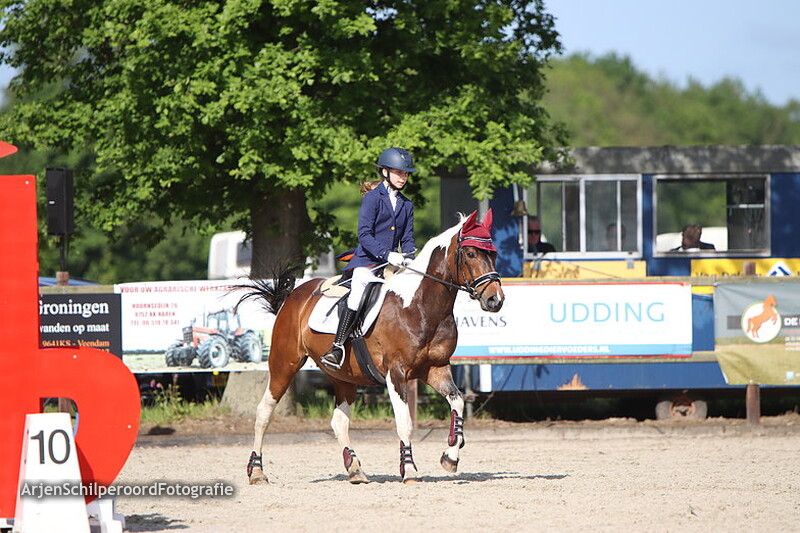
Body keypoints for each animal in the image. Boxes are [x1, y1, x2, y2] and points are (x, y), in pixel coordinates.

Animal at [240, 209, 504, 484]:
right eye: (471, 254)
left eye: (493, 254)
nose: (495, 300)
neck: (420, 305)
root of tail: (293, 296)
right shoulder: (396, 373)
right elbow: (404, 422)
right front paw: (409, 469)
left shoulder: (436, 369)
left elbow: (458, 401)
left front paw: (450, 456)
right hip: (285, 363)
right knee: (264, 412)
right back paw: (256, 471)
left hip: (343, 376)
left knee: (339, 421)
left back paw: (355, 468)